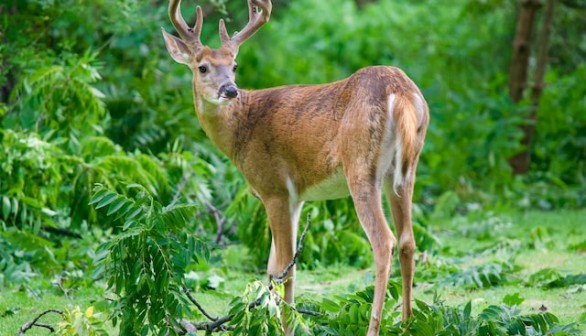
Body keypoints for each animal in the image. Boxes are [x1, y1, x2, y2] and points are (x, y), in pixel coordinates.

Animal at [162, 1, 426, 334]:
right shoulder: (297, 196)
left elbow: (284, 267)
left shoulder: (273, 188)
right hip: (405, 170)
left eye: (234, 66)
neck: (241, 129)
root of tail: (401, 92)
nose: (230, 90)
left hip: (361, 168)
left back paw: (374, 326)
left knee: (384, 242)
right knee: (407, 242)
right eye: (203, 67)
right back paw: (407, 323)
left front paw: (286, 326)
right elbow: (277, 266)